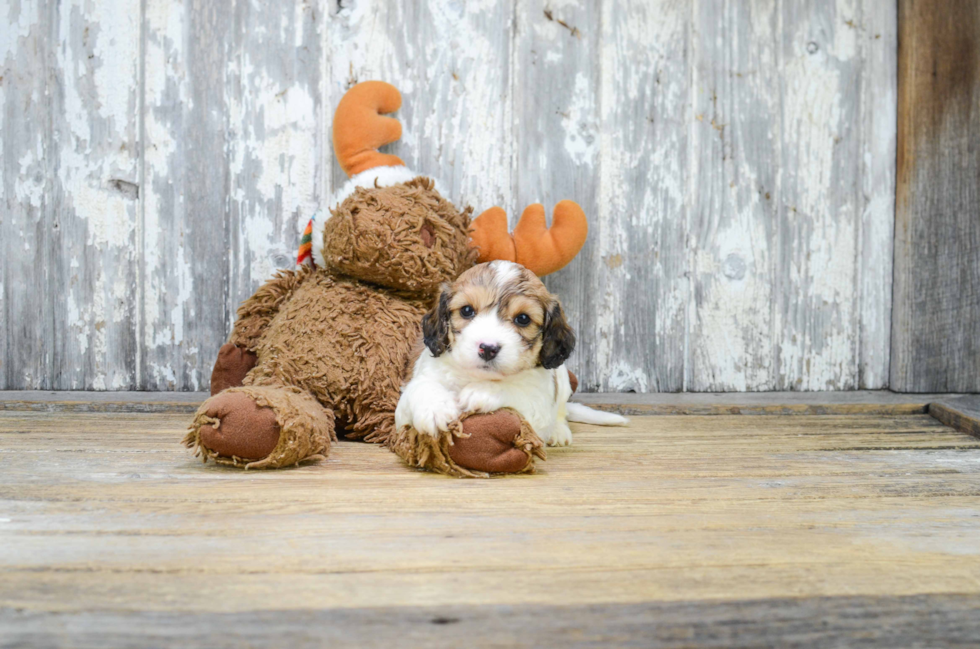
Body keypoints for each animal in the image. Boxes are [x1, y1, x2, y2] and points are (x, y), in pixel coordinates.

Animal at [392, 260, 628, 446]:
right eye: (467, 310)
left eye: (522, 319)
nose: (488, 348)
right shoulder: (407, 402)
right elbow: (422, 387)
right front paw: (435, 409)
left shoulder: (539, 405)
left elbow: (517, 393)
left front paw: (484, 391)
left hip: (562, 379)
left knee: (561, 410)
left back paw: (559, 431)